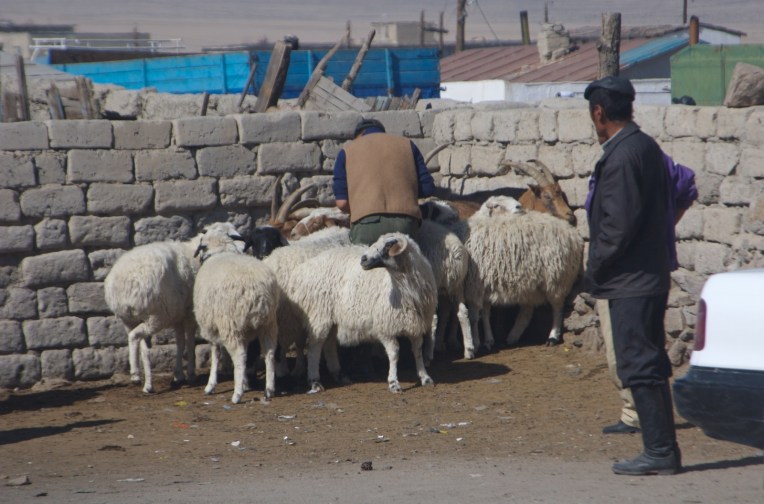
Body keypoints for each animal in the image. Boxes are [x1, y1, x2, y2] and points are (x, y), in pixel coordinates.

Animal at [103, 222, 244, 394]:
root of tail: (123, 282)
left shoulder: (178, 316)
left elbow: (180, 343)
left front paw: (178, 375)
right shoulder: (190, 313)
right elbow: (189, 342)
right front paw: (191, 373)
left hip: (129, 319)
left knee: (140, 344)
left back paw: (142, 378)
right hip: (156, 316)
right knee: (136, 339)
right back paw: (139, 376)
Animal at [193, 234, 281, 404]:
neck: (220, 252)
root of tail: (257, 292)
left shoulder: (210, 325)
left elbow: (215, 353)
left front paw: (210, 385)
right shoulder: (244, 331)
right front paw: (246, 382)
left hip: (230, 324)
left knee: (239, 356)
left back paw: (237, 395)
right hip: (268, 323)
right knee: (269, 353)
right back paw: (269, 389)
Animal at [288, 232, 438, 394]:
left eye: (388, 244)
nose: (363, 259)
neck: (405, 290)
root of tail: (302, 269)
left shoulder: (415, 325)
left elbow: (417, 351)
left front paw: (425, 378)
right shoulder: (385, 328)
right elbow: (394, 354)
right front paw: (393, 383)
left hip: (332, 318)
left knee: (328, 344)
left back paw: (339, 375)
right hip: (319, 315)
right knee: (314, 348)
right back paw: (315, 381)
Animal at [462, 196, 584, 349]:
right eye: (496, 205)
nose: (519, 207)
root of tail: (573, 233)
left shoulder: (474, 286)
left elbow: (473, 317)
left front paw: (476, 342)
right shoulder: (483, 285)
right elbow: (484, 313)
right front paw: (488, 340)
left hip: (557, 277)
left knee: (557, 308)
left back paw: (553, 337)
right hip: (533, 280)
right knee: (527, 311)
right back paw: (513, 337)